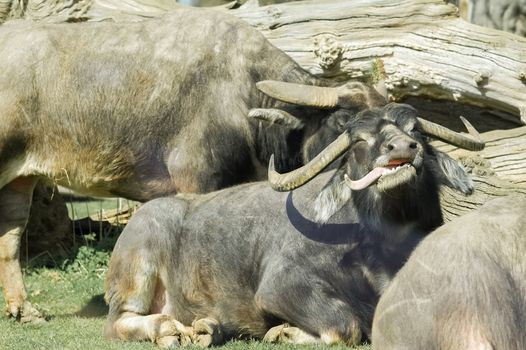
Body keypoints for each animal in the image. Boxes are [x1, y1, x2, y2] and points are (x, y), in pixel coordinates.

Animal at [104, 102, 486, 348]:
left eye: (415, 130)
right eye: (360, 141)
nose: (403, 148)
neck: (381, 250)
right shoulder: (279, 286)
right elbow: (345, 327)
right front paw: (283, 332)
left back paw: (206, 329)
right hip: (138, 269)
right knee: (118, 322)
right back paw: (168, 328)